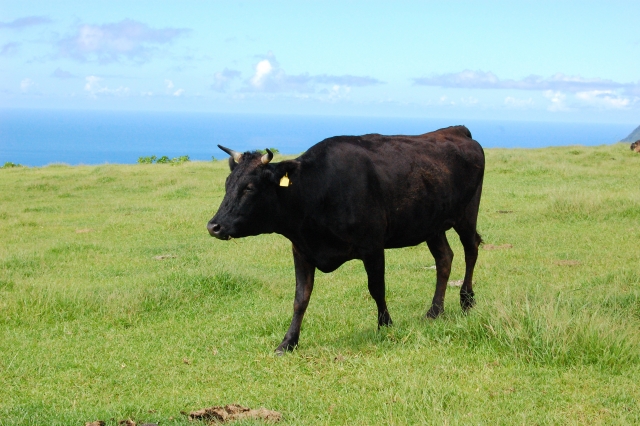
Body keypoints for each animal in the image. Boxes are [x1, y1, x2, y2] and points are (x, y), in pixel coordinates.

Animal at [208, 125, 482, 352]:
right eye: (227, 183)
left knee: (471, 250)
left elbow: (377, 289)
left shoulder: (372, 246)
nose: (214, 226)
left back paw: (467, 301)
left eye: (249, 187)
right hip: (433, 225)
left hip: (466, 215)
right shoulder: (301, 250)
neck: (315, 189)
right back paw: (434, 311)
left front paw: (385, 326)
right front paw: (288, 342)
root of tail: (457, 130)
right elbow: (300, 298)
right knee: (444, 259)